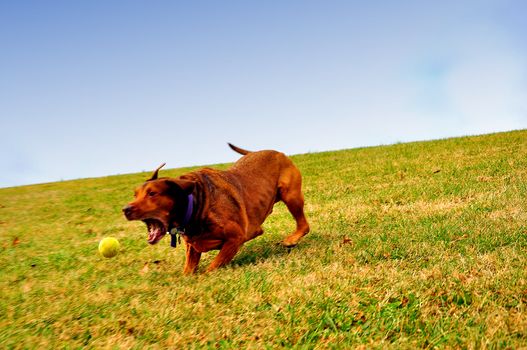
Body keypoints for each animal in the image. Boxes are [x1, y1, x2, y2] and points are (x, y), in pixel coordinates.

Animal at [122, 143, 310, 274]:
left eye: (152, 193)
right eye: (135, 194)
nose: (125, 209)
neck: (196, 205)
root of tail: (276, 152)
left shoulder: (236, 237)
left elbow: (212, 267)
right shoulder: (192, 247)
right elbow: (188, 270)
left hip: (290, 195)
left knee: (304, 225)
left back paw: (292, 239)